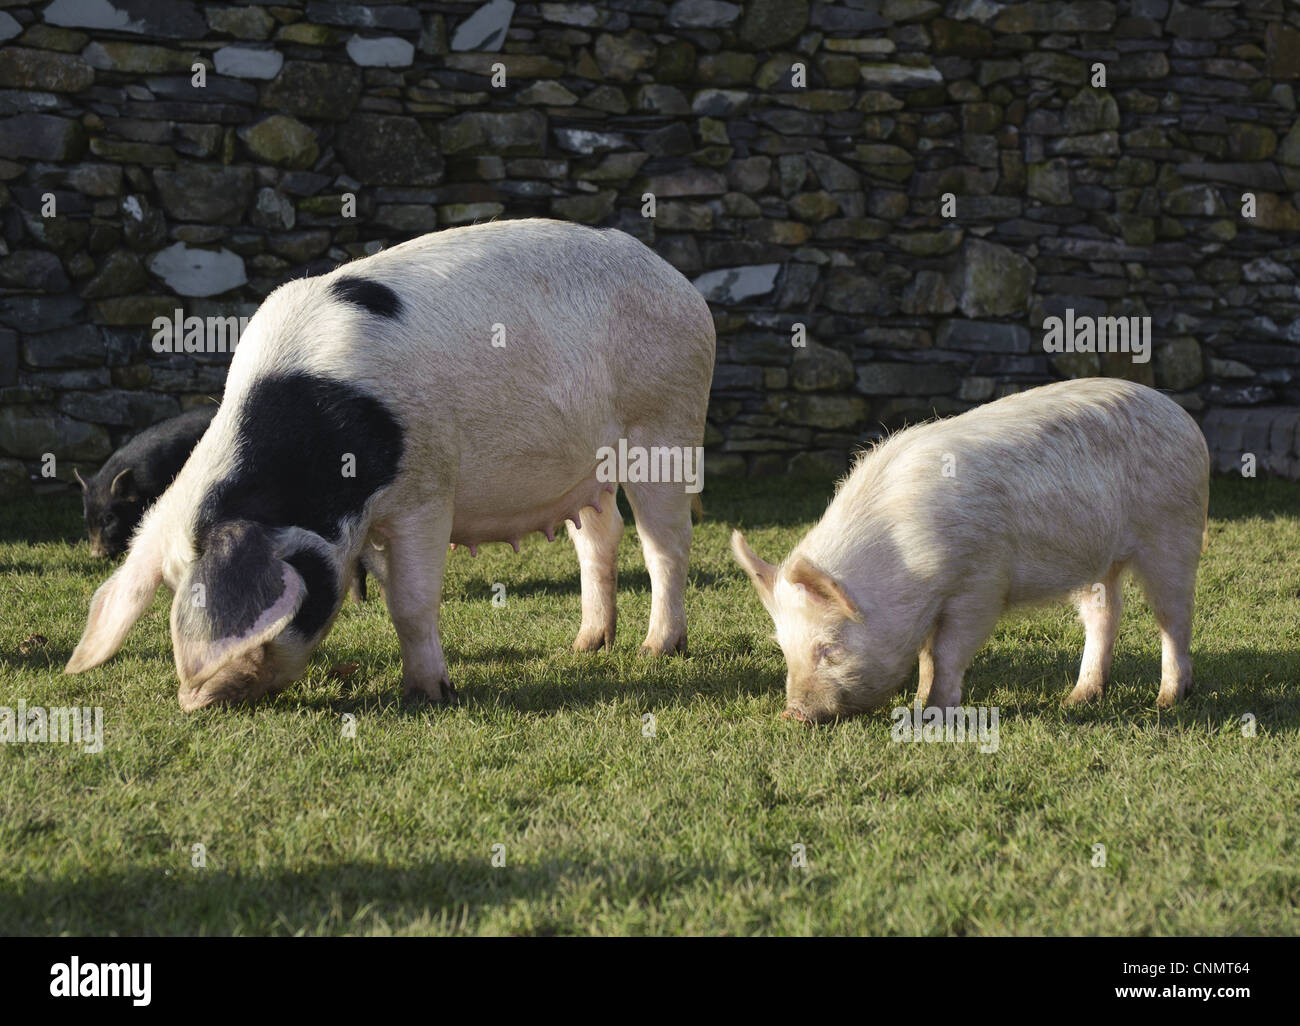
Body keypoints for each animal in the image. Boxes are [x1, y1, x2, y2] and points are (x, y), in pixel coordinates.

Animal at [738, 379, 1211, 723]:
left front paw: (933, 714)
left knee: (1174, 616)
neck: (905, 565)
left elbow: (946, 652)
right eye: (783, 647)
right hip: (1099, 559)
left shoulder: (980, 584)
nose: (792, 715)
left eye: (829, 647)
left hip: (1175, 530)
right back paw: (1077, 700)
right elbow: (926, 655)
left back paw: (1168, 700)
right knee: (1104, 613)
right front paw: (918, 705)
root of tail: (1179, 413)